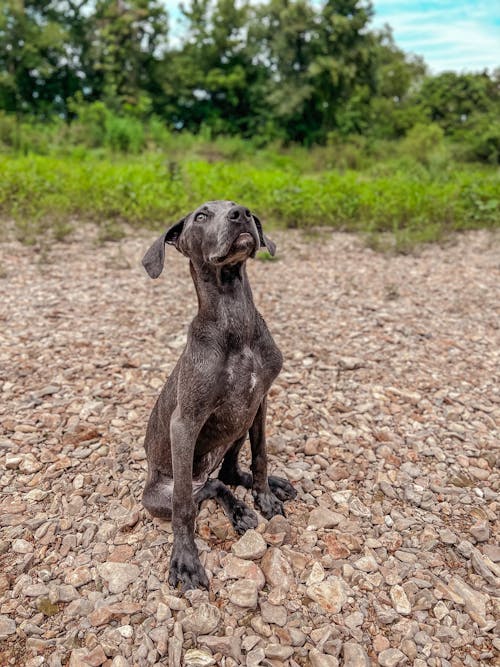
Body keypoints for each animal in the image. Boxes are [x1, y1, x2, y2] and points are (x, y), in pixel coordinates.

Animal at [140, 198, 296, 588]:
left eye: (240, 207)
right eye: (201, 216)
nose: (241, 215)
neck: (234, 323)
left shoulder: (260, 401)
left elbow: (261, 455)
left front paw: (265, 498)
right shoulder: (185, 422)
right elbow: (183, 505)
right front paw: (184, 559)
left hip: (237, 429)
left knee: (225, 475)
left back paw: (256, 495)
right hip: (156, 496)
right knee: (202, 490)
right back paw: (236, 509)